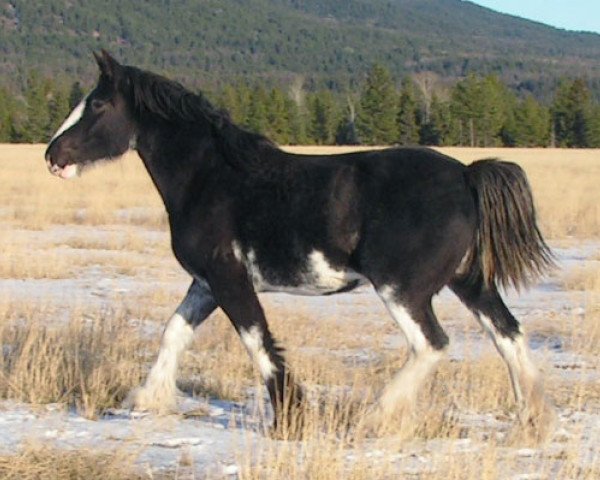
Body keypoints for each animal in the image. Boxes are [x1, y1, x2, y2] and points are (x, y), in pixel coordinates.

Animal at [44, 51, 556, 438]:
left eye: (98, 104)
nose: (52, 156)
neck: (212, 178)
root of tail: (466, 174)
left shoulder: (229, 279)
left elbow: (257, 341)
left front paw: (290, 418)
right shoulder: (205, 284)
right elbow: (174, 332)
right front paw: (146, 399)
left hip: (403, 289)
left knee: (431, 344)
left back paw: (373, 418)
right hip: (469, 282)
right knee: (509, 334)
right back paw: (532, 420)